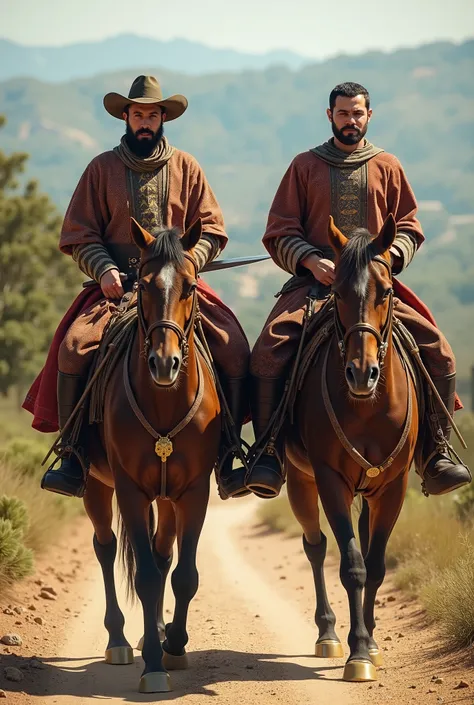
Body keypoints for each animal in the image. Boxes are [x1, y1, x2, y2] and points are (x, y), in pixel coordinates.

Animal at [83, 217, 220, 692]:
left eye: (190, 286)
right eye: (143, 285)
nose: (165, 363)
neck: (164, 402)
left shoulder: (194, 492)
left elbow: (183, 574)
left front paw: (173, 644)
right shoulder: (129, 490)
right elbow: (143, 576)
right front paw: (154, 667)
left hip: (168, 497)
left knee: (162, 557)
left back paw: (154, 633)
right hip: (96, 486)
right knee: (106, 548)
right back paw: (121, 640)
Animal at [286, 216, 418, 680]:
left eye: (388, 291)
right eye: (338, 292)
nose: (362, 373)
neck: (368, 406)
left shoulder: (393, 487)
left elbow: (376, 566)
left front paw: (372, 644)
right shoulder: (331, 481)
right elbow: (353, 565)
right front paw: (357, 652)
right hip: (300, 481)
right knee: (315, 546)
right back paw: (327, 633)